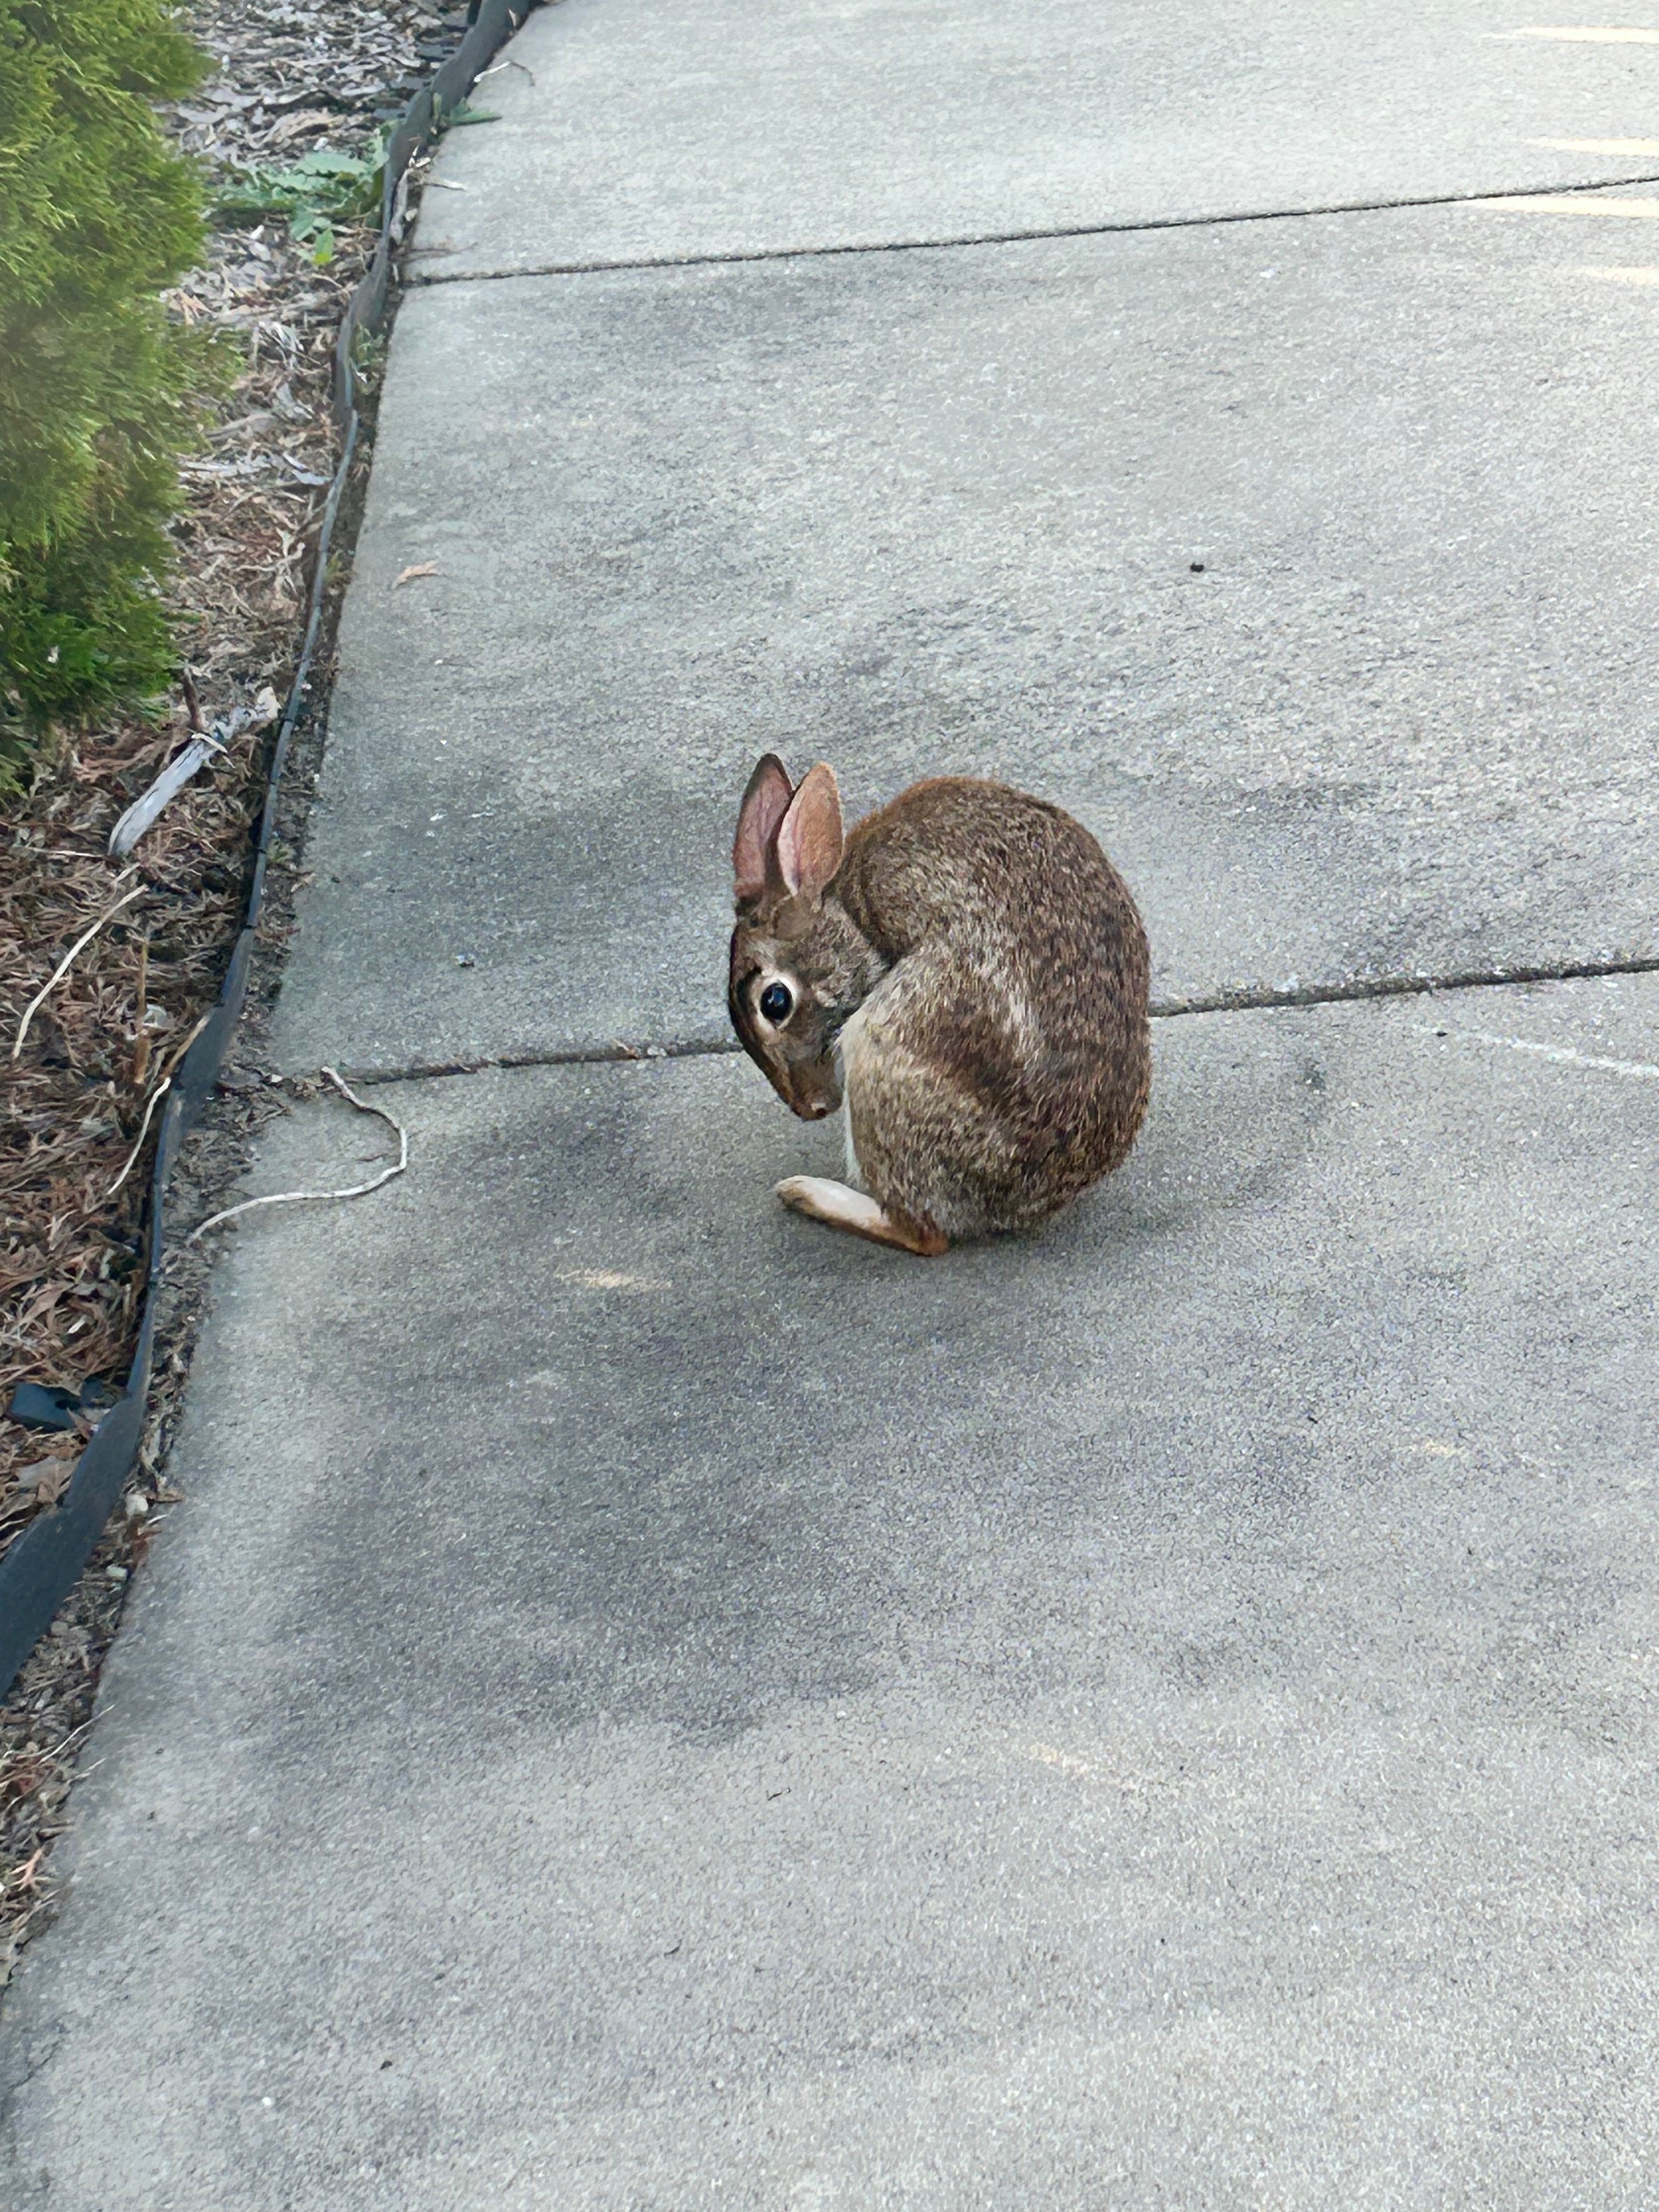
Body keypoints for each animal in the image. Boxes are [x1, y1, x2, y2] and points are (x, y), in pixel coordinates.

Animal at [727, 754, 1151, 1256]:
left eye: (775, 1001)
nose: (811, 1108)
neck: (849, 914)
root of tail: (1019, 1203)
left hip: (881, 1045)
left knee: (923, 1235)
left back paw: (807, 1194)